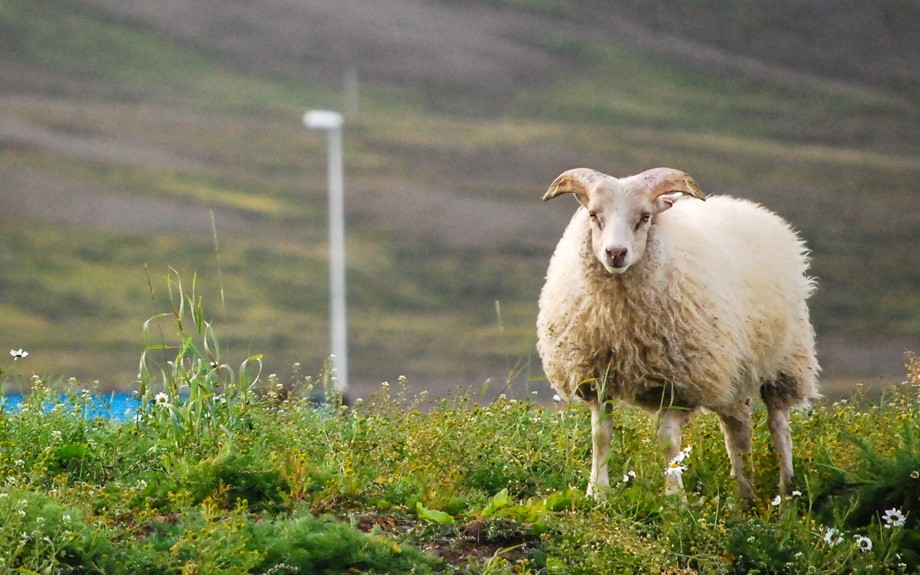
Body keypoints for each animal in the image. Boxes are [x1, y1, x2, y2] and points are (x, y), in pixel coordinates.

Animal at [536, 166, 824, 500]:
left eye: (644, 217)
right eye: (594, 214)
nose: (615, 253)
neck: (619, 321)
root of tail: (752, 208)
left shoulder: (681, 382)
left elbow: (667, 440)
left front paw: (675, 497)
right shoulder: (596, 377)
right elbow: (600, 435)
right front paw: (598, 492)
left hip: (785, 358)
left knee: (779, 423)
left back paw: (786, 488)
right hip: (733, 370)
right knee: (738, 429)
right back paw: (744, 494)